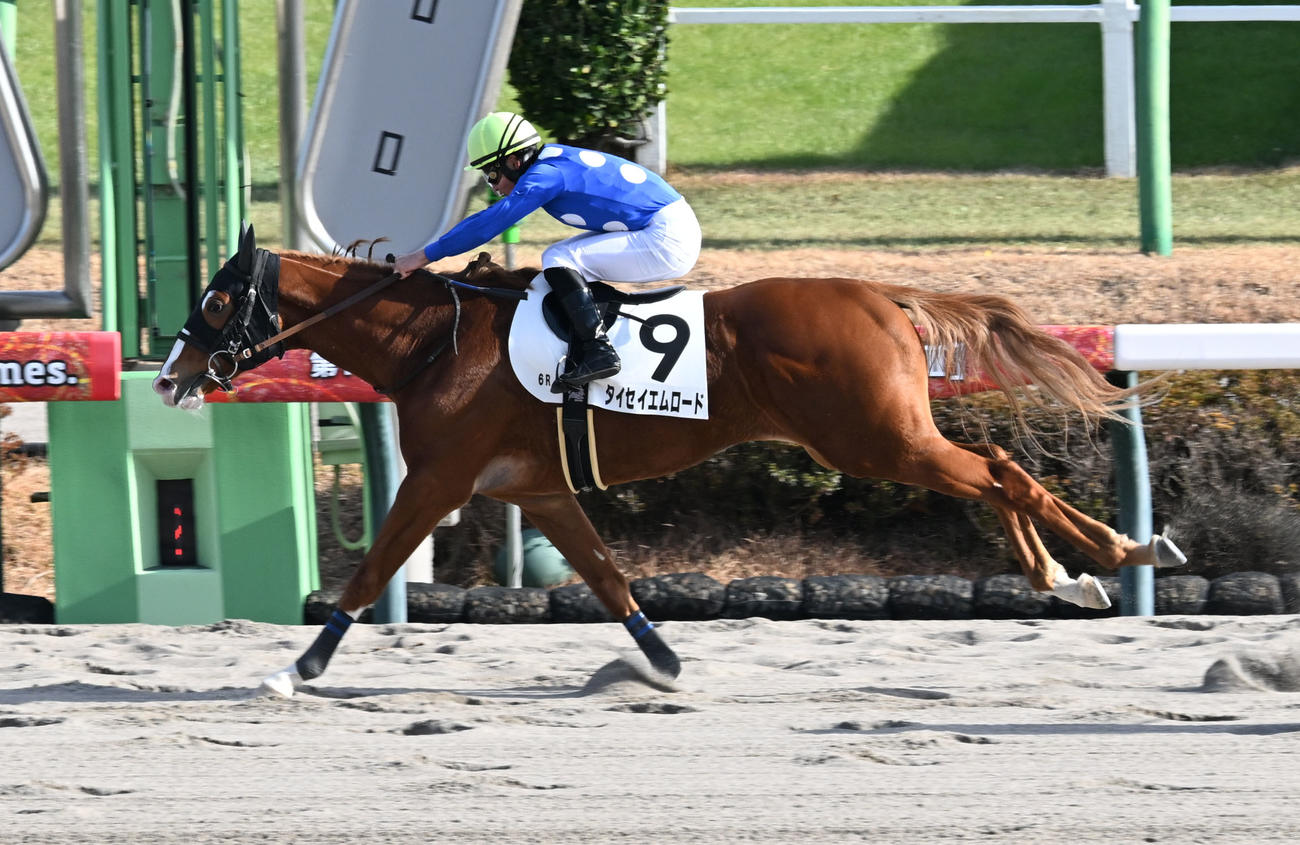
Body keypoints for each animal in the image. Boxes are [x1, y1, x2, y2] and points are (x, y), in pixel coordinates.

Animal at [152, 225, 1186, 696]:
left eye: (215, 301)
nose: (168, 375)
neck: (432, 344)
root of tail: (882, 293)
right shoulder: (535, 487)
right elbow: (607, 577)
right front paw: (662, 660)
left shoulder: (440, 477)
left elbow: (368, 572)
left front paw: (296, 667)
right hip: (884, 433)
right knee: (1004, 462)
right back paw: (1093, 563)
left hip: (873, 437)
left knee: (1002, 472)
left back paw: (1106, 560)